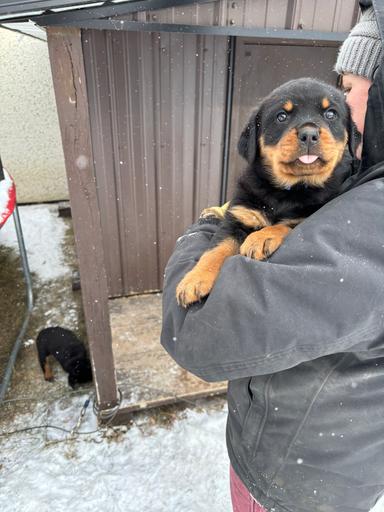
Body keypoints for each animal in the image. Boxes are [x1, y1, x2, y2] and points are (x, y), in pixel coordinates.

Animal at [176, 77, 356, 308]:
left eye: (330, 114)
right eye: (282, 116)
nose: (309, 134)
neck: (287, 190)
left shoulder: (305, 216)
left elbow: (284, 225)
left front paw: (260, 238)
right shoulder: (239, 217)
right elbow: (216, 249)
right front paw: (193, 280)